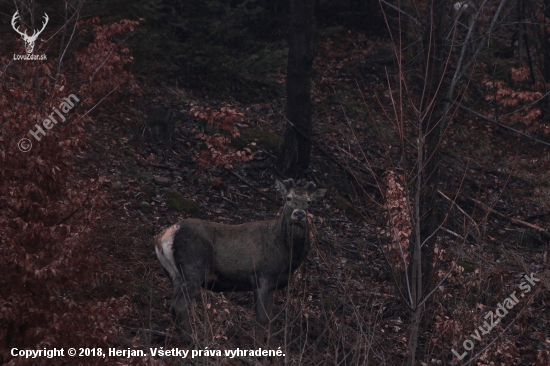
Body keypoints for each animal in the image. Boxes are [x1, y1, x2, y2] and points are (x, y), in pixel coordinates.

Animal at [154, 179, 328, 346]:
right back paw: (194, 341)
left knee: (173, 306)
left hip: (175, 275)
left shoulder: (272, 285)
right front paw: (259, 348)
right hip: (193, 268)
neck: (285, 253)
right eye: (288, 198)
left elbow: (272, 318)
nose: (299, 214)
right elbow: (262, 318)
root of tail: (163, 237)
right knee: (180, 305)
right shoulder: (261, 277)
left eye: (309, 201)